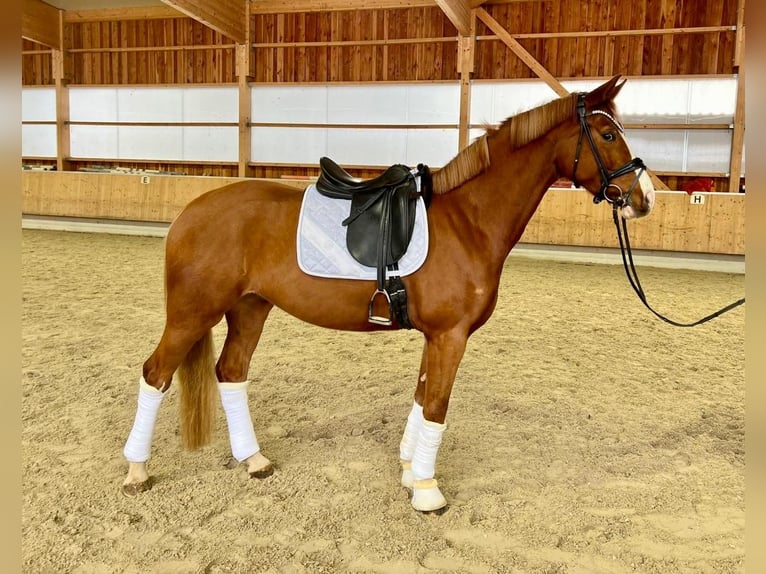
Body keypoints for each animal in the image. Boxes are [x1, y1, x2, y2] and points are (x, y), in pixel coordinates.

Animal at [121, 75, 656, 513]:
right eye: (608, 134)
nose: (645, 197)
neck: (467, 221)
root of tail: (190, 212)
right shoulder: (450, 336)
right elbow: (437, 406)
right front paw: (427, 491)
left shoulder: (437, 337)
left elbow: (421, 398)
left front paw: (408, 470)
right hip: (193, 313)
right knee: (156, 374)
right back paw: (136, 471)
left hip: (250, 308)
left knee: (231, 373)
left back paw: (253, 460)